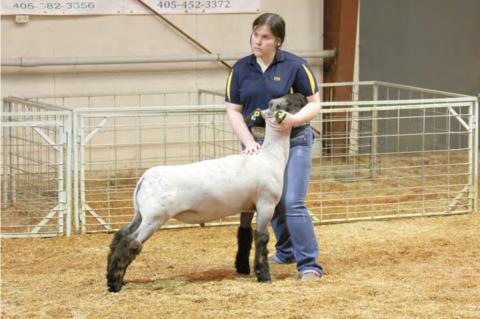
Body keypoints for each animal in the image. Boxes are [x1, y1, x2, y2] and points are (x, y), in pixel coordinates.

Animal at [106, 94, 306, 294]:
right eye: (284, 104)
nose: (303, 97)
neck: (271, 156)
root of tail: (145, 178)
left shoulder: (249, 206)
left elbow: (246, 234)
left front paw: (243, 268)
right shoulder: (266, 204)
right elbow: (262, 239)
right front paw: (263, 275)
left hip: (141, 214)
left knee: (121, 236)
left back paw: (113, 278)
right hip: (154, 218)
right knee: (131, 243)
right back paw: (115, 284)